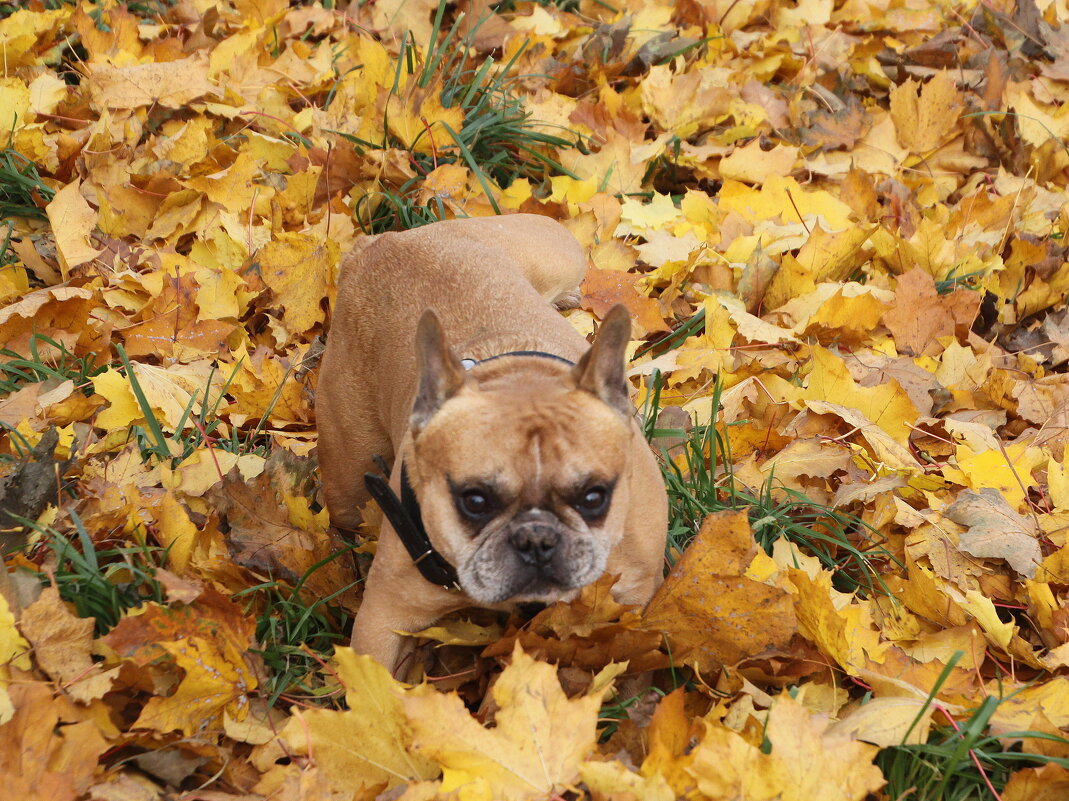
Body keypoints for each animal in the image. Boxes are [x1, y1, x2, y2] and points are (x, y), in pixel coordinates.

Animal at [314, 213, 667, 675]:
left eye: (594, 496)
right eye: (474, 501)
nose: (536, 539)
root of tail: (379, 243)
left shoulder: (632, 603)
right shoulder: (384, 616)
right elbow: (377, 683)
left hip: (560, 252)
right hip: (350, 484)